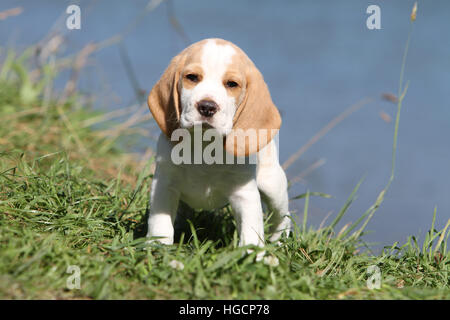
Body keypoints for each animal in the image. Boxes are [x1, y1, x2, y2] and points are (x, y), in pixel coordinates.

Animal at [146, 38, 290, 249]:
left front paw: (252, 254)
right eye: (192, 77)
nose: (207, 107)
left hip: (273, 186)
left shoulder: (244, 194)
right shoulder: (164, 184)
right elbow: (160, 222)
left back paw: (279, 242)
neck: (205, 144)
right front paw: (157, 247)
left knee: (283, 218)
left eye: (232, 84)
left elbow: (251, 231)